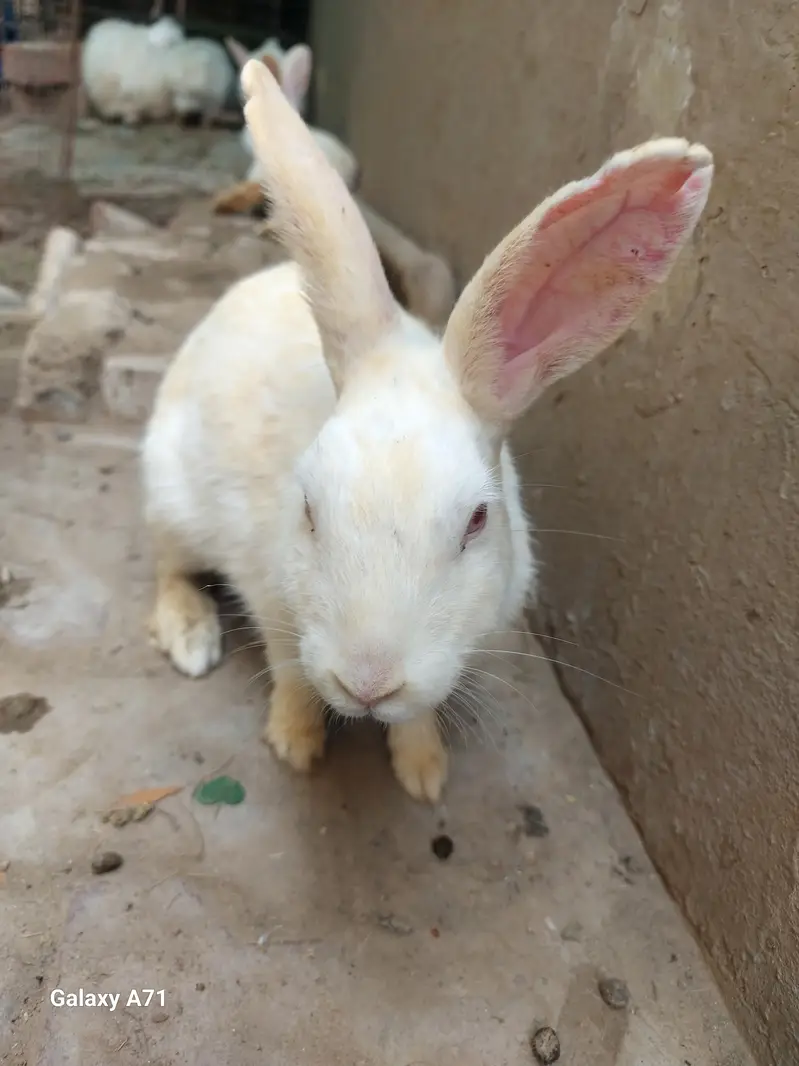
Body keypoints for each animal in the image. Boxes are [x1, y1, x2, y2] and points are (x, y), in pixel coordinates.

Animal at [141, 59, 713, 803]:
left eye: (477, 521)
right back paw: (190, 638)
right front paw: (297, 744)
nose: (369, 682)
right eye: (308, 510)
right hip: (169, 494)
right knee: (169, 568)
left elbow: (418, 715)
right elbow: (290, 672)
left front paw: (423, 770)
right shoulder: (270, 594)